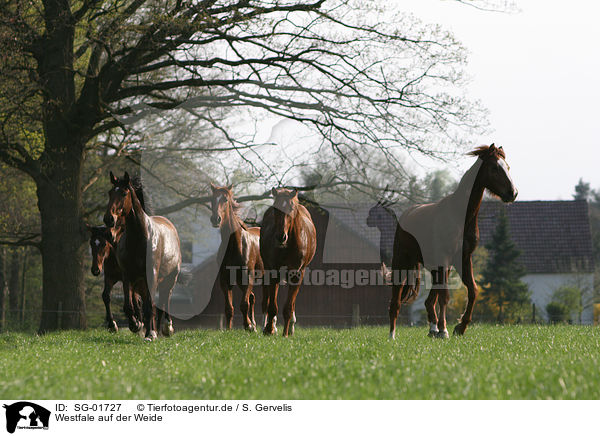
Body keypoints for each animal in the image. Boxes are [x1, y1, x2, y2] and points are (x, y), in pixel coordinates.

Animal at [104, 171, 182, 340]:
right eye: (110, 192)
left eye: (124, 193)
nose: (108, 219)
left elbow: (149, 307)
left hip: (170, 278)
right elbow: (129, 306)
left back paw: (166, 327)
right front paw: (135, 324)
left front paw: (151, 333)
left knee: (165, 299)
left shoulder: (151, 275)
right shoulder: (127, 275)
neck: (139, 239)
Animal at [210, 183, 264, 330]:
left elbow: (243, 304)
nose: (215, 219)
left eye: (225, 199)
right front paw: (229, 329)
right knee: (252, 297)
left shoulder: (248, 277)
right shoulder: (225, 280)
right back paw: (255, 324)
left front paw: (248, 326)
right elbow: (229, 308)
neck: (235, 245)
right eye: (212, 199)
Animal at [260, 188, 316, 338]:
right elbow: (272, 306)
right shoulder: (274, 271)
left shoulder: (296, 274)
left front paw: (285, 332)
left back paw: (290, 328)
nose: (281, 237)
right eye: (276, 208)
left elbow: (288, 307)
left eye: (291, 208)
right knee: (267, 298)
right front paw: (269, 329)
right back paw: (268, 326)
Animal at [390, 145, 516, 338]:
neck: (460, 215)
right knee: (396, 300)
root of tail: (406, 215)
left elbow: (473, 291)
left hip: (438, 267)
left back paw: (432, 328)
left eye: (508, 167)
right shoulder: (445, 258)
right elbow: (445, 296)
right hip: (403, 261)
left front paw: (460, 327)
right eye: (494, 168)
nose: (512, 193)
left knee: (429, 301)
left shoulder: (462, 258)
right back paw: (393, 335)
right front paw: (444, 330)